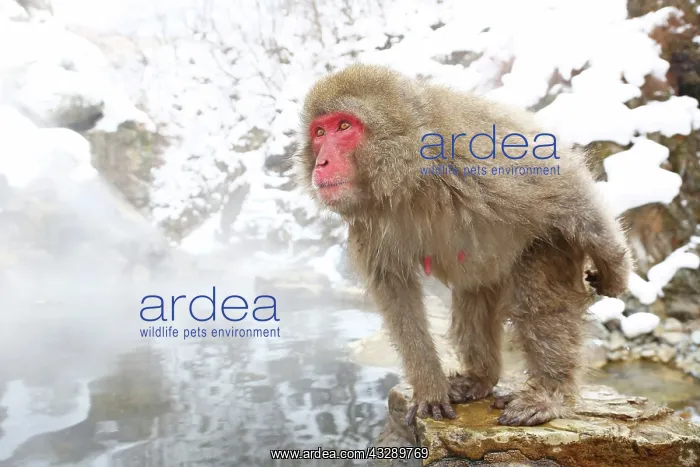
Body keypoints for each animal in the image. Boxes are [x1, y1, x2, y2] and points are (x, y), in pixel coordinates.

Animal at [292, 64, 633, 427]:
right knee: (474, 294)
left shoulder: (476, 158)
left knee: (540, 298)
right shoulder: (369, 223)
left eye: (344, 126)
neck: (413, 174)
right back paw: (481, 377)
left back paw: (548, 395)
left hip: (551, 242)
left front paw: (616, 269)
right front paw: (430, 388)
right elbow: (396, 291)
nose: (322, 163)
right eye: (319, 132)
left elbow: (563, 186)